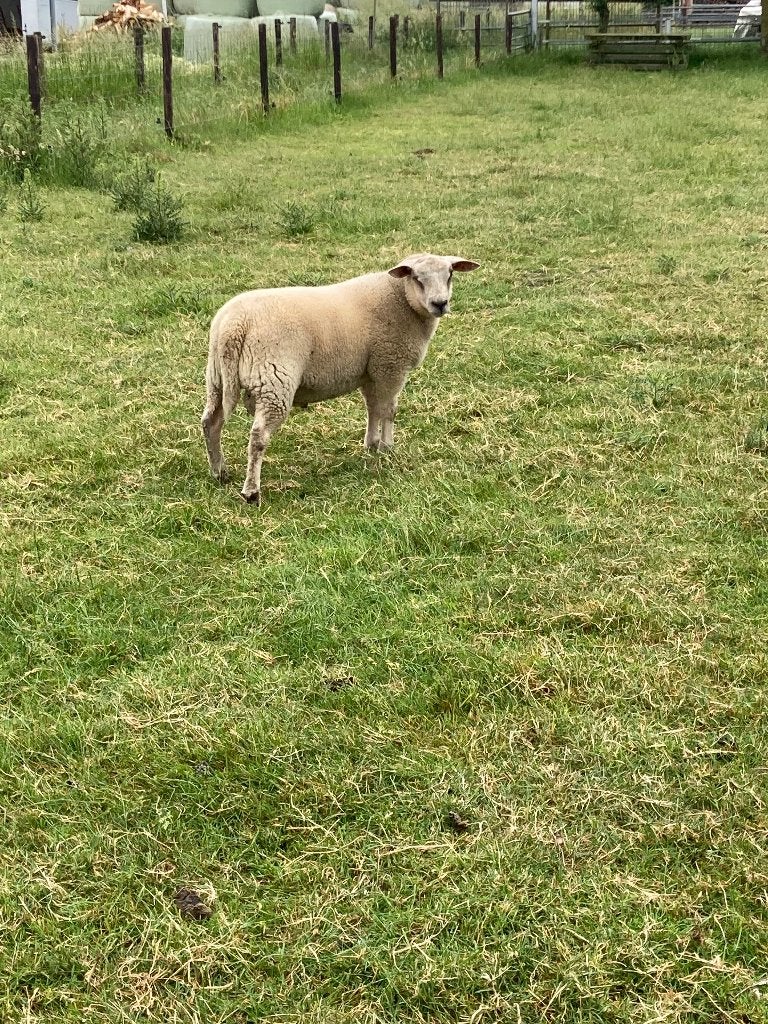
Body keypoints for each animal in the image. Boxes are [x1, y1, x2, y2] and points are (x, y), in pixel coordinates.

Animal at [201, 253, 480, 505]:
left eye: (450, 274)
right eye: (417, 278)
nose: (440, 303)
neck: (401, 299)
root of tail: (234, 325)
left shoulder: (370, 371)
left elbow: (373, 408)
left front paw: (371, 444)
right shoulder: (391, 365)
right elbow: (389, 410)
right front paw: (387, 447)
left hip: (217, 378)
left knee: (210, 423)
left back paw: (219, 472)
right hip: (274, 381)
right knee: (258, 437)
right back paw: (251, 491)